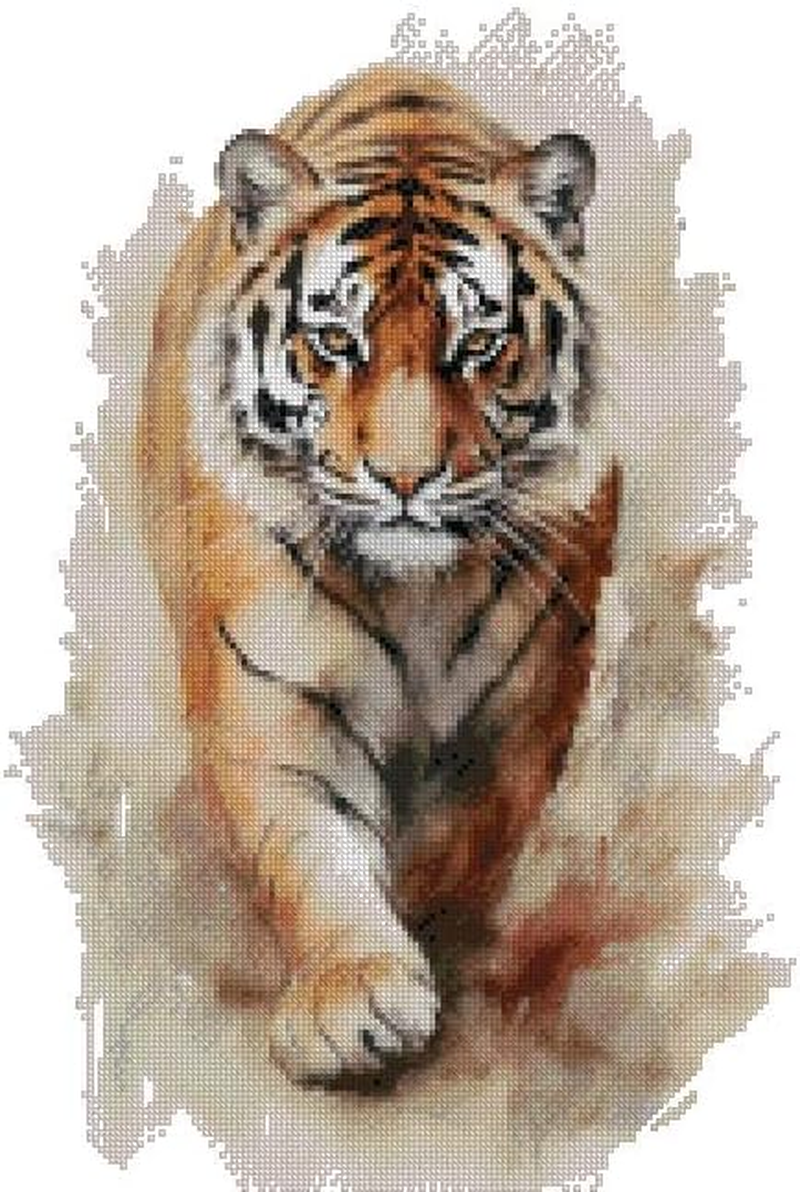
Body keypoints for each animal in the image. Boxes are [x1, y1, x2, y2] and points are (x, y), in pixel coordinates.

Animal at [139, 63, 620, 1086]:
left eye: (477, 345)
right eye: (336, 342)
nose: (405, 479)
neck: (417, 595)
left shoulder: (527, 711)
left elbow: (465, 840)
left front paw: (427, 910)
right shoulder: (272, 701)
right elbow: (316, 855)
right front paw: (357, 995)